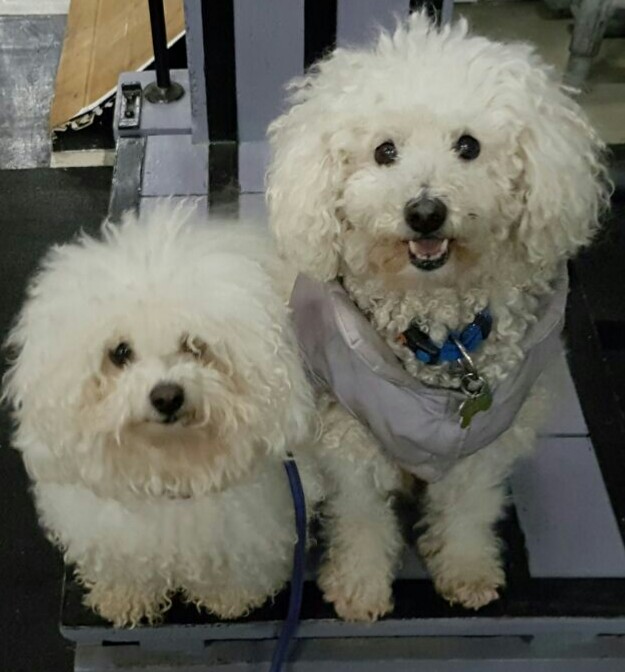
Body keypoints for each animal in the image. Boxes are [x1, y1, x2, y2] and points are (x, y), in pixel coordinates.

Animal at [3, 202, 323, 626]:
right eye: (120, 352)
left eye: (194, 345)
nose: (167, 396)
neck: (172, 462)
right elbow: (126, 570)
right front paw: (123, 599)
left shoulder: (256, 522)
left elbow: (239, 569)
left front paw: (231, 599)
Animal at [267, 12, 609, 620]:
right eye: (384, 151)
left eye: (468, 145)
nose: (424, 211)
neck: (442, 330)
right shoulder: (352, 436)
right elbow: (361, 516)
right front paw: (358, 587)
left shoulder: (486, 441)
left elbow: (468, 509)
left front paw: (467, 571)